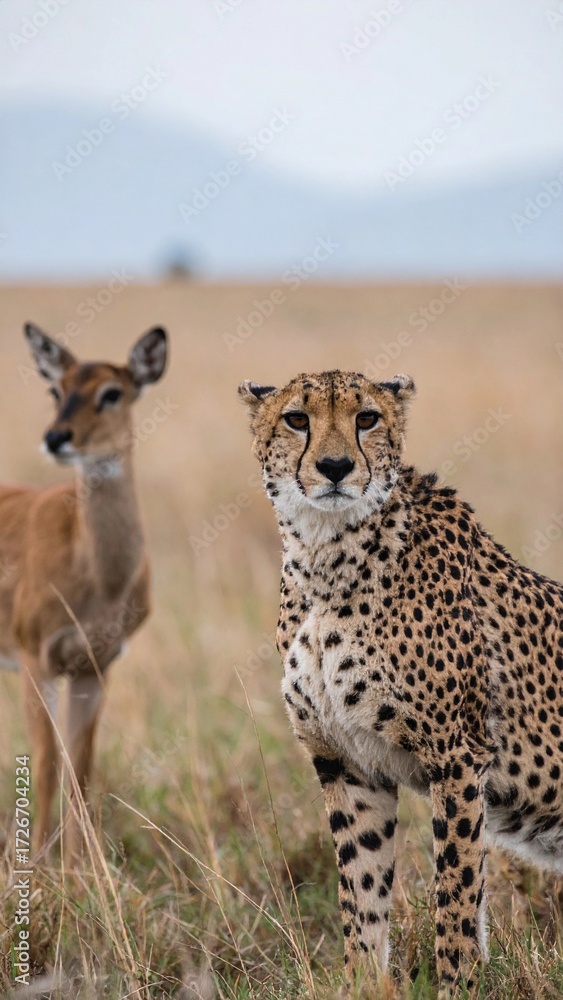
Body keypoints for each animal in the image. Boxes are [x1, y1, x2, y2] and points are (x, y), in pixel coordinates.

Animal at [0, 324, 168, 862]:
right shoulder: (36, 660)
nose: (56, 437)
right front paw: (38, 869)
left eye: (112, 392)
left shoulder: (94, 667)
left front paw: (77, 869)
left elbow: (81, 768)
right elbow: (46, 765)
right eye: (57, 390)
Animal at [239, 369, 563, 997]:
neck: (327, 554)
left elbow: (455, 895)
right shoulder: (347, 763)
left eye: (366, 418)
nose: (335, 466)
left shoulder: (457, 757)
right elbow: (361, 890)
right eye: (297, 419)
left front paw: (458, 985)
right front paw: (362, 981)